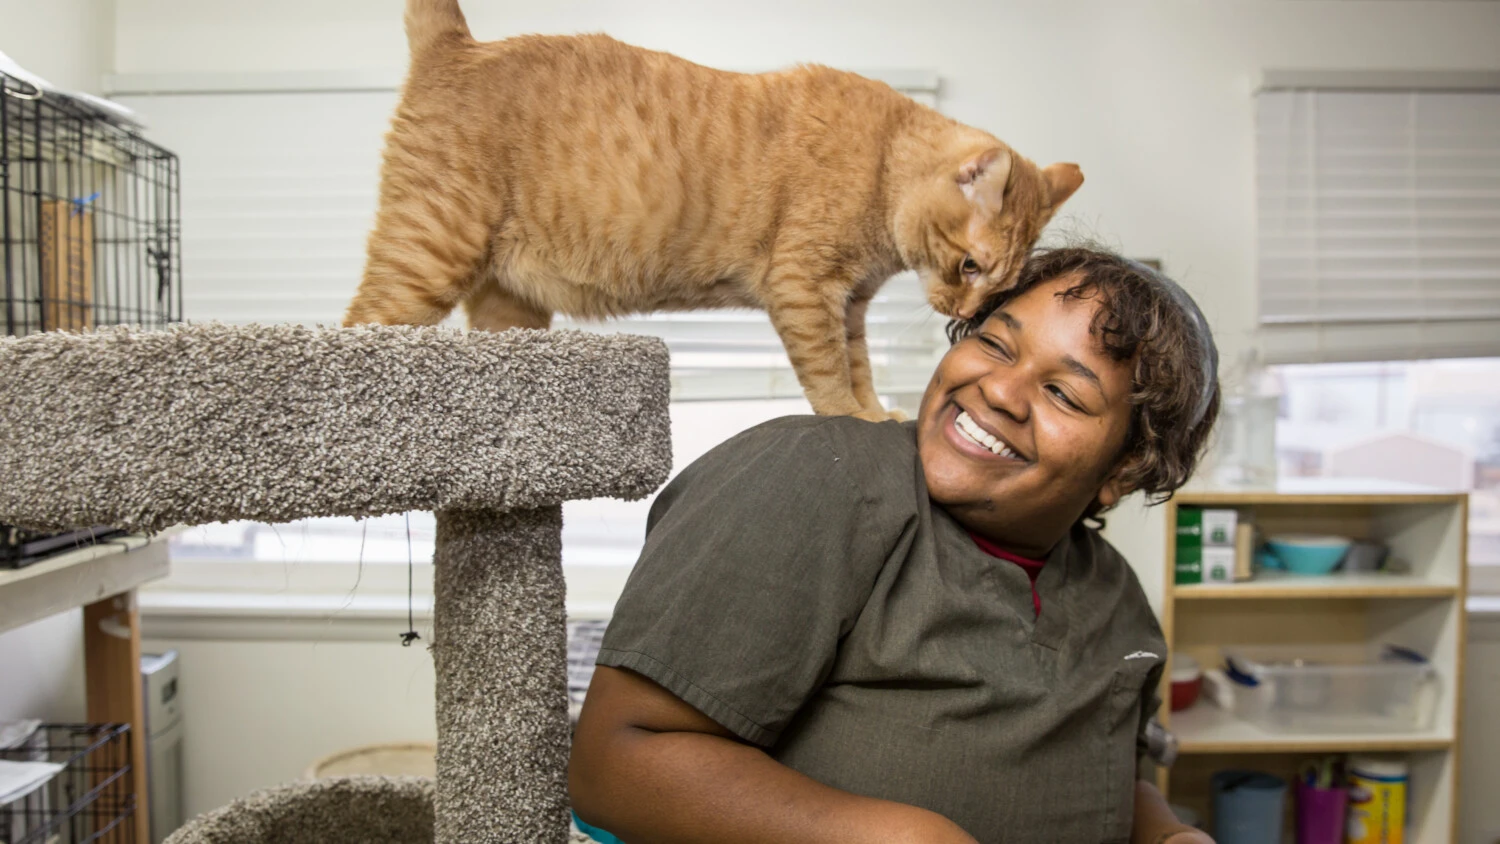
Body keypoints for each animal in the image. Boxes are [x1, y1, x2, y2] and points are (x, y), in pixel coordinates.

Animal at [345, 0, 1086, 419]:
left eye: (997, 286)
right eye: (970, 266)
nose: (964, 311)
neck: (883, 164)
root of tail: (462, 45)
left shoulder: (849, 305)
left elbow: (861, 367)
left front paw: (878, 414)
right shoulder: (806, 288)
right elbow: (831, 376)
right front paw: (853, 420)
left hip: (509, 308)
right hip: (428, 255)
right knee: (354, 331)